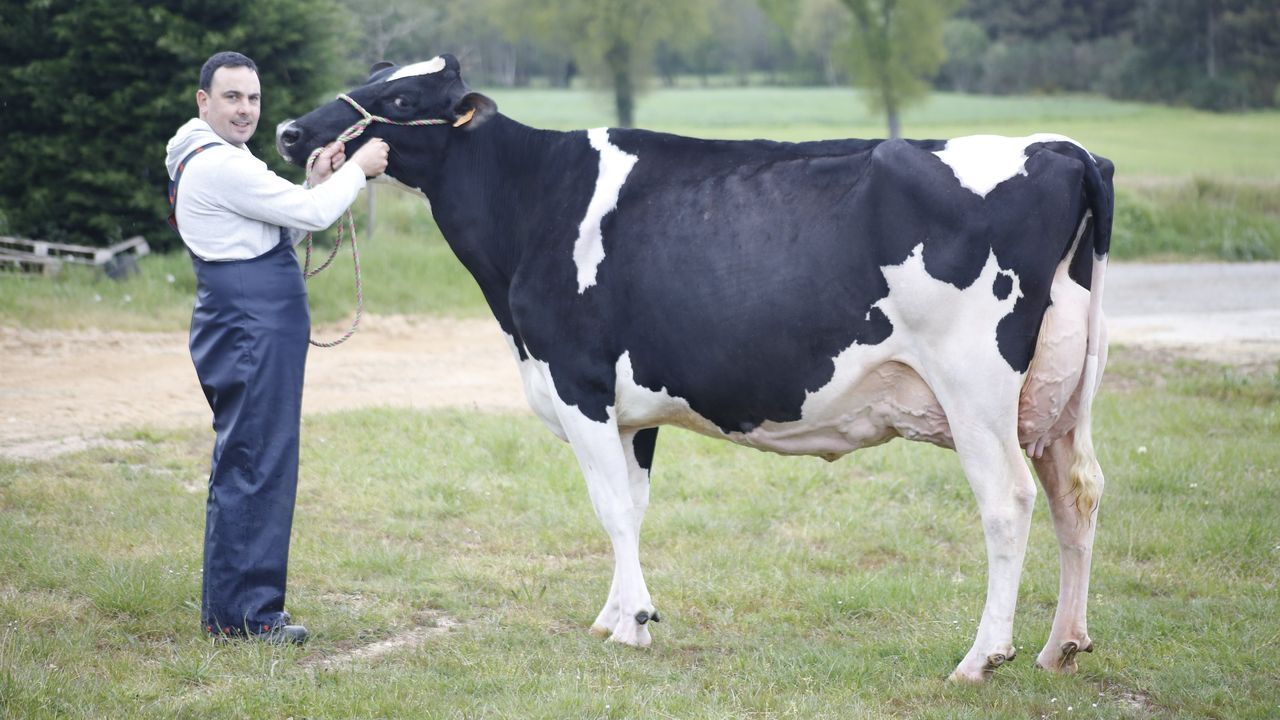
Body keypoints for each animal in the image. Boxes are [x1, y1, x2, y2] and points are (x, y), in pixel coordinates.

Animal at [277, 55, 1113, 682]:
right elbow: (634, 505)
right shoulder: (633, 407)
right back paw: (1060, 646)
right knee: (1076, 493)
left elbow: (610, 508)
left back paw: (983, 657)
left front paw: (634, 623)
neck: (532, 199)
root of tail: (1065, 149)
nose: (290, 131)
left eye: (398, 97)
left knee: (1007, 501)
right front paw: (617, 614)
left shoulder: (577, 381)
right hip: (1065, 393)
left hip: (974, 385)